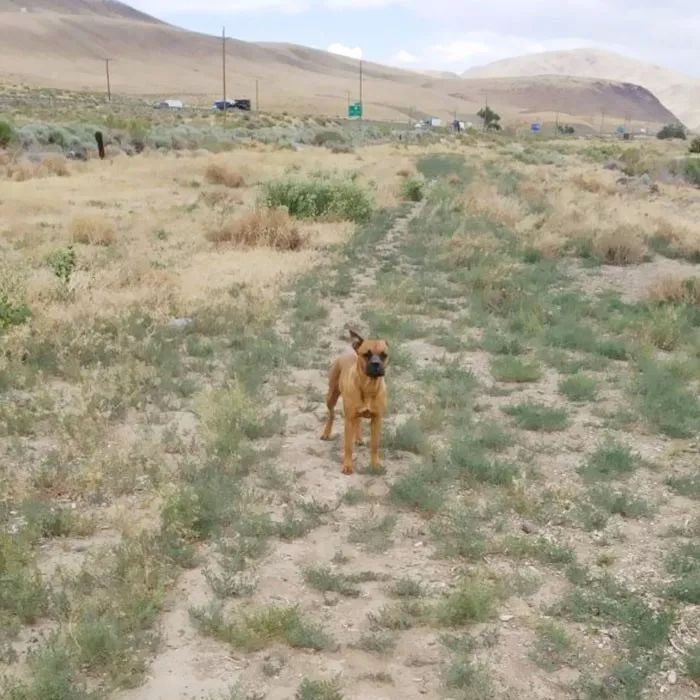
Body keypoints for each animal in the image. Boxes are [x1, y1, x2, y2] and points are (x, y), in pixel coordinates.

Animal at [322, 328, 388, 476]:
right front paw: (347, 466)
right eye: (366, 354)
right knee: (331, 414)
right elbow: (348, 446)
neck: (368, 386)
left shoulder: (377, 419)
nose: (376, 364)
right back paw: (326, 433)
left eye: (384, 355)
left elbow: (374, 445)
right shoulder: (349, 420)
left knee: (357, 421)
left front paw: (375, 464)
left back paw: (358, 438)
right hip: (331, 397)